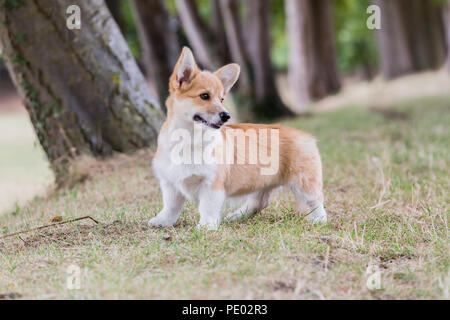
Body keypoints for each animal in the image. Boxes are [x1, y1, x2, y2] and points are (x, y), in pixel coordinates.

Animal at [149, 47, 326, 230]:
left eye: (221, 99)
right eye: (204, 96)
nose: (226, 116)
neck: (189, 139)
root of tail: (306, 135)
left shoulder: (212, 185)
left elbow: (207, 207)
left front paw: (206, 226)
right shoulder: (170, 184)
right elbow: (170, 206)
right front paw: (162, 221)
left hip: (304, 183)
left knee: (316, 201)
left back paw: (319, 220)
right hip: (262, 182)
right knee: (259, 202)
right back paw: (236, 216)